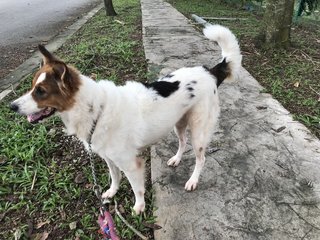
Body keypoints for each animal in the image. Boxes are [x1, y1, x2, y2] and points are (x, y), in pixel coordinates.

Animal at [10, 24, 241, 214]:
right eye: (32, 87)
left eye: (40, 91)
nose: (12, 106)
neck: (95, 111)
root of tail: (209, 72)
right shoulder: (109, 157)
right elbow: (115, 177)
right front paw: (112, 193)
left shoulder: (131, 163)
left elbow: (136, 188)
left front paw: (139, 207)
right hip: (179, 122)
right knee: (182, 142)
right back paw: (176, 159)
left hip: (199, 130)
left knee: (201, 158)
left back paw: (193, 180)